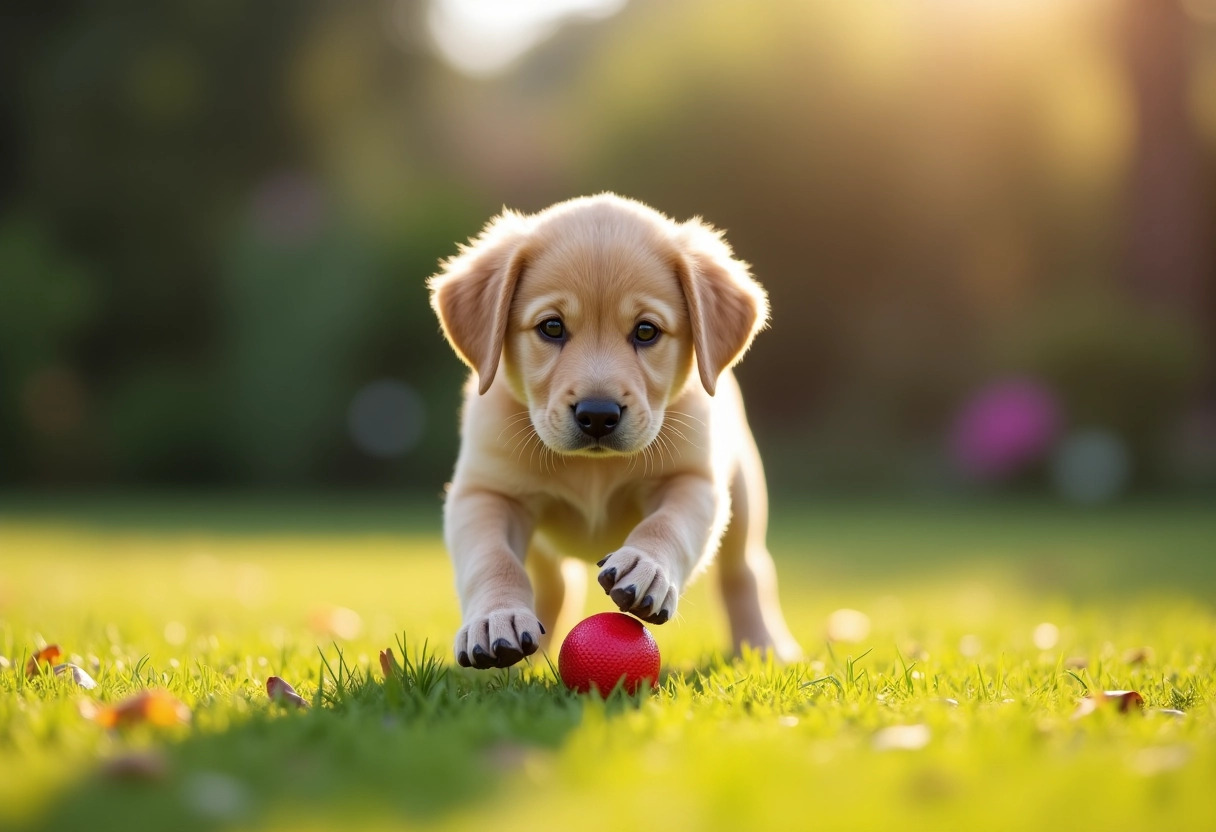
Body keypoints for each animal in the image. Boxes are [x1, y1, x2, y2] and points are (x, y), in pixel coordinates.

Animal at [423, 194, 802, 671]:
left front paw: (647, 568)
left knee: (746, 571)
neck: (594, 470)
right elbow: (492, 559)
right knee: (555, 583)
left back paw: (764, 643)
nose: (599, 416)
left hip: (745, 495)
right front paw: (497, 618)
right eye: (551, 327)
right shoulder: (484, 492)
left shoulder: (694, 479)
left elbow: (666, 525)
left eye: (646, 331)